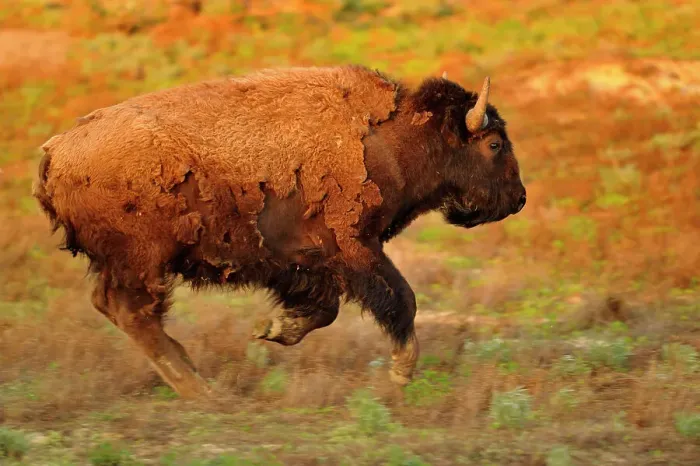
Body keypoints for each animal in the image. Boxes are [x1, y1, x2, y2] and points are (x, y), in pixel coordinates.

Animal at [33, 65, 526, 398]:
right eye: (495, 144)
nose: (518, 198)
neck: (393, 140)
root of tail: (56, 153)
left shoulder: (300, 262)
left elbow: (324, 310)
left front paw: (273, 330)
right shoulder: (355, 248)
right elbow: (401, 299)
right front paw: (402, 370)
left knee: (119, 309)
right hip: (144, 261)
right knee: (133, 313)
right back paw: (200, 389)